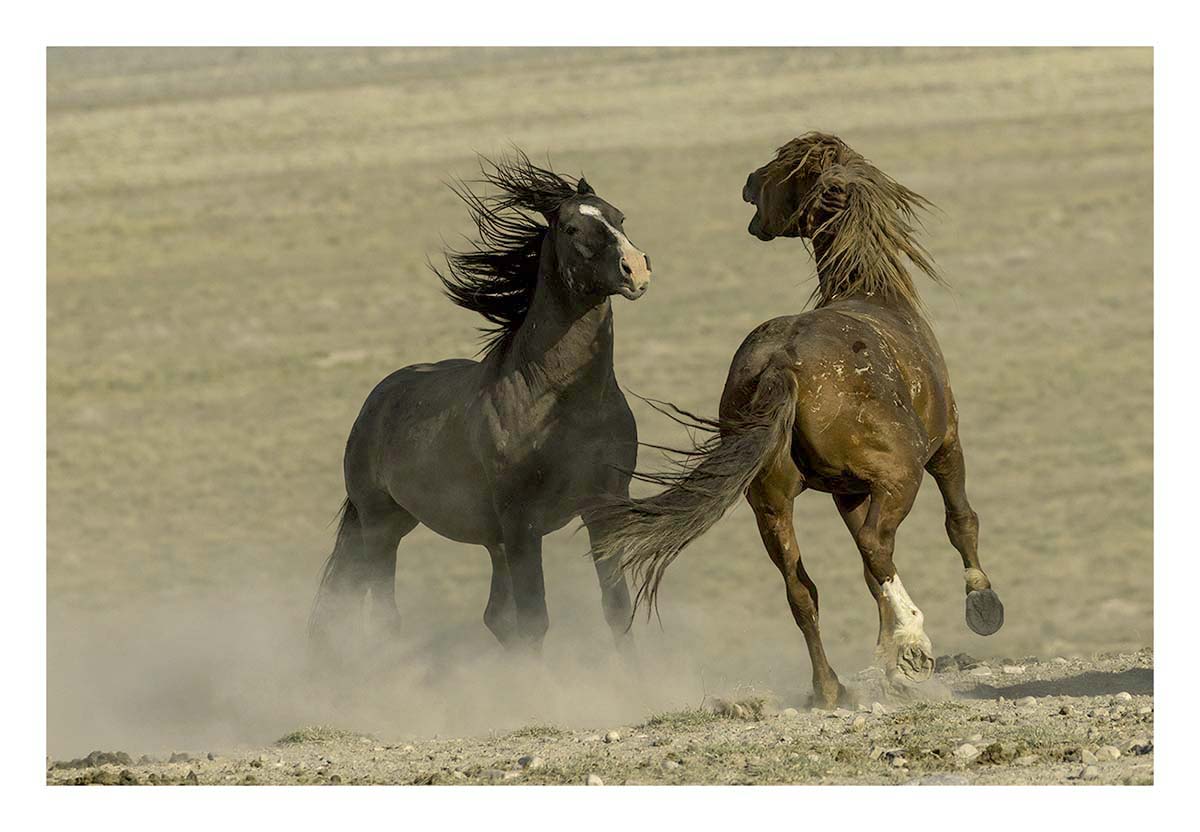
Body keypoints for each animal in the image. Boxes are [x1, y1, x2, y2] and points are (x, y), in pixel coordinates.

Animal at [309, 151, 652, 666]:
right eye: (573, 227)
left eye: (620, 217)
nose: (636, 269)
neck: (562, 404)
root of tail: (376, 403)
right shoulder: (522, 522)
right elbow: (535, 620)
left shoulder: (603, 506)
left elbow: (615, 608)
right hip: (382, 526)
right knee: (386, 617)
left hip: (482, 540)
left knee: (494, 618)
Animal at [591, 133, 1003, 707]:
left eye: (780, 166)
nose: (746, 183)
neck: (878, 295)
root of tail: (781, 363)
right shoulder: (947, 446)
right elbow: (959, 521)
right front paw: (981, 607)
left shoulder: (847, 493)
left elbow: (867, 573)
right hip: (901, 475)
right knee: (875, 547)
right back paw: (912, 648)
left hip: (770, 501)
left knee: (801, 590)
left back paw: (830, 689)